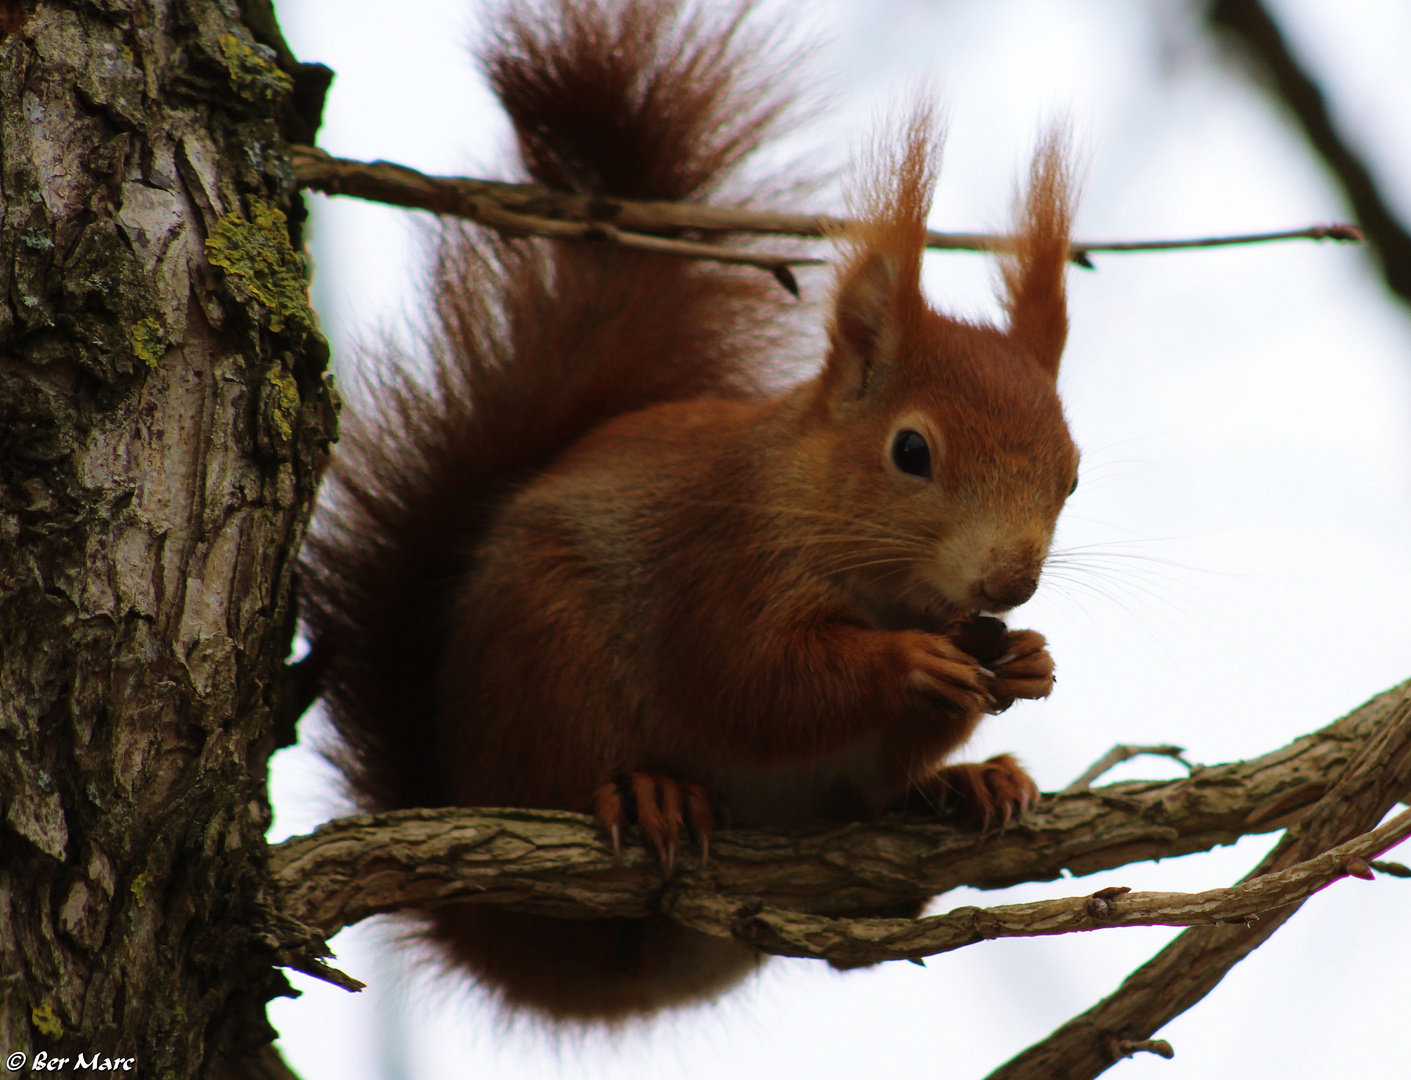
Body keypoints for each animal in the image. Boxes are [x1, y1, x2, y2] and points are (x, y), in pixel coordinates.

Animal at [303, 0, 1078, 1022]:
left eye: (1071, 474)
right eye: (911, 452)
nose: (1011, 582)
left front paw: (1023, 662)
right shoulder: (720, 559)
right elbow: (751, 679)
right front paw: (909, 664)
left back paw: (966, 786)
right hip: (545, 663)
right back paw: (646, 795)